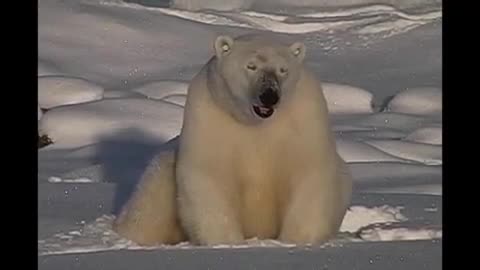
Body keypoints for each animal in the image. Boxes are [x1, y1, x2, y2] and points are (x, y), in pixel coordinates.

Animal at [113, 33, 352, 247]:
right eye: (251, 66)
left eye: (283, 70)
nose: (269, 95)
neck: (255, 123)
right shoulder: (210, 114)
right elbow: (209, 174)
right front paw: (226, 242)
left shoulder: (304, 116)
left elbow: (308, 171)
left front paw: (297, 240)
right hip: (162, 174)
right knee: (150, 201)